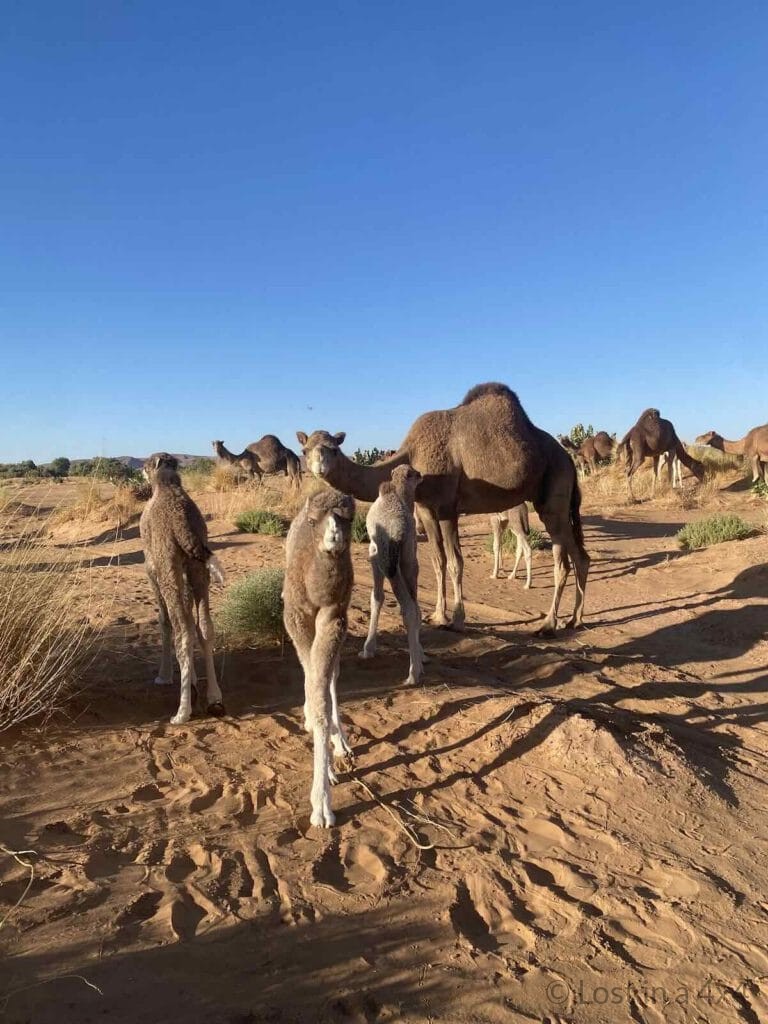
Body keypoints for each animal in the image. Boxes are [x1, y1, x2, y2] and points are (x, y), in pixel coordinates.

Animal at [140, 453, 225, 725]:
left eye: (146, 464)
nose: (141, 471)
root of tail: (183, 527)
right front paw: (197, 685)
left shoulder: (152, 570)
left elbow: (163, 620)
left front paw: (163, 676)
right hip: (199, 569)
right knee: (205, 628)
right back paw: (215, 699)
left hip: (168, 569)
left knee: (183, 633)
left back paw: (181, 713)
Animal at [298, 382, 589, 632]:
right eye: (305, 450)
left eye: (333, 449)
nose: (319, 467)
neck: (414, 454)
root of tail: (569, 460)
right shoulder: (426, 508)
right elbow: (438, 561)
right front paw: (438, 615)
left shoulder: (449, 507)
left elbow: (456, 562)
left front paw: (458, 620)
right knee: (577, 558)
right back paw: (573, 619)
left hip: (554, 495)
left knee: (566, 558)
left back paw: (550, 624)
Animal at [360, 465, 424, 686]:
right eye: (414, 473)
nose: (422, 475)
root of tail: (398, 530)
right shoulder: (411, 559)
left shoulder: (374, 554)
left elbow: (377, 597)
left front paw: (368, 649)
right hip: (406, 561)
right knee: (413, 607)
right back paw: (418, 664)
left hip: (389, 563)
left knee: (408, 607)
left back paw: (412, 675)